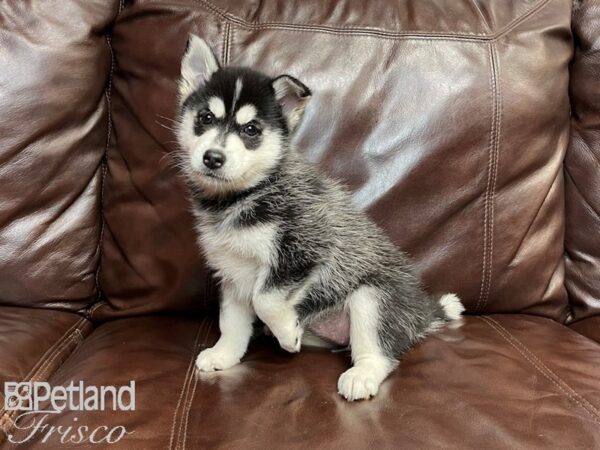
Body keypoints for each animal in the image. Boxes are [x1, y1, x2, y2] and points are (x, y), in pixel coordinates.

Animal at [175, 35, 464, 400]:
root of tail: (419, 315)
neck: (245, 194)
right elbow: (233, 322)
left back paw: (361, 374)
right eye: (205, 117)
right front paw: (225, 354)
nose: (213, 157)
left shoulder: (304, 248)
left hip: (372, 297)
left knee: (380, 352)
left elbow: (265, 299)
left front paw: (286, 333)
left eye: (251, 129)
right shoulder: (233, 273)